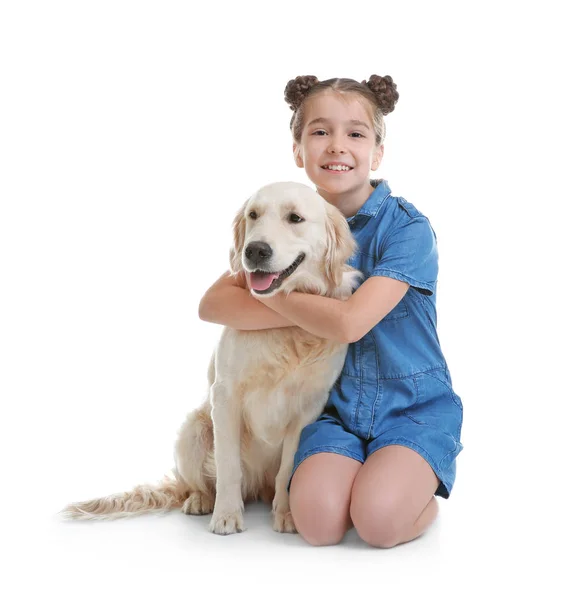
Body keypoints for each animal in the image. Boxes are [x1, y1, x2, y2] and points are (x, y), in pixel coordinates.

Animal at [61, 183, 358, 536]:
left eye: (295, 218)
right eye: (253, 214)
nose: (254, 251)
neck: (286, 325)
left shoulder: (309, 406)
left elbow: (288, 468)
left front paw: (285, 513)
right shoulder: (226, 394)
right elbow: (228, 465)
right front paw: (227, 515)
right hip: (194, 429)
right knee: (199, 482)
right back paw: (201, 500)